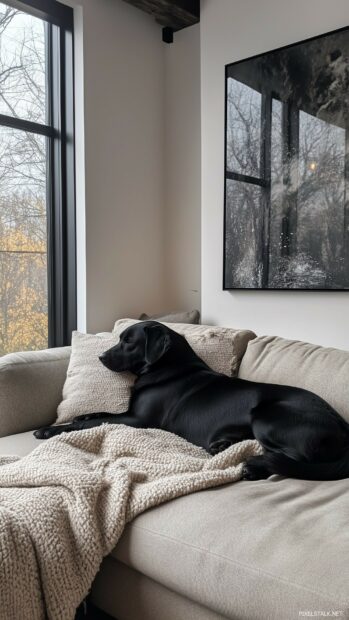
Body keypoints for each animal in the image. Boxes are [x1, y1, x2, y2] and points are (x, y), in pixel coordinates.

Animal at [34, 322, 348, 482]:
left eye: (128, 342)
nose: (100, 357)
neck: (166, 366)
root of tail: (343, 429)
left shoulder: (140, 420)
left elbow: (97, 421)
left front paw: (49, 430)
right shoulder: (128, 412)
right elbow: (94, 414)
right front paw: (76, 417)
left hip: (266, 416)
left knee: (293, 458)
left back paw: (254, 465)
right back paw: (224, 446)